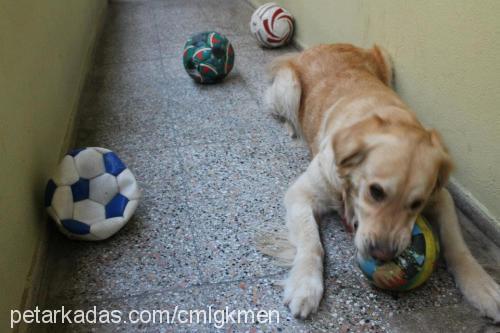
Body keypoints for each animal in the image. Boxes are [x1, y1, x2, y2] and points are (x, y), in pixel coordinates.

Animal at [266, 43, 500, 320]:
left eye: (416, 204)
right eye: (375, 191)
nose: (382, 254)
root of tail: (323, 45)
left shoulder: (441, 196)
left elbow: (457, 244)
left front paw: (481, 285)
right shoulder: (301, 193)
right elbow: (311, 242)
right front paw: (305, 285)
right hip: (288, 87)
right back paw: (292, 128)